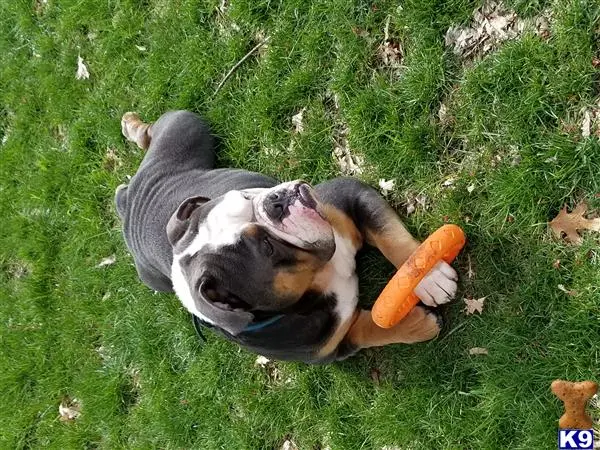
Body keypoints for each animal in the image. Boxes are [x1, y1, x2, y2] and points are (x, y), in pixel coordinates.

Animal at [115, 110, 458, 364]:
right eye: (267, 249)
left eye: (244, 195)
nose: (276, 201)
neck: (316, 275)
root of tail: (128, 203)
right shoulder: (328, 348)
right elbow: (370, 328)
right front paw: (418, 323)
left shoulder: (349, 196)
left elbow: (393, 241)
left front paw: (429, 278)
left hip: (189, 128)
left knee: (155, 131)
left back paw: (132, 127)